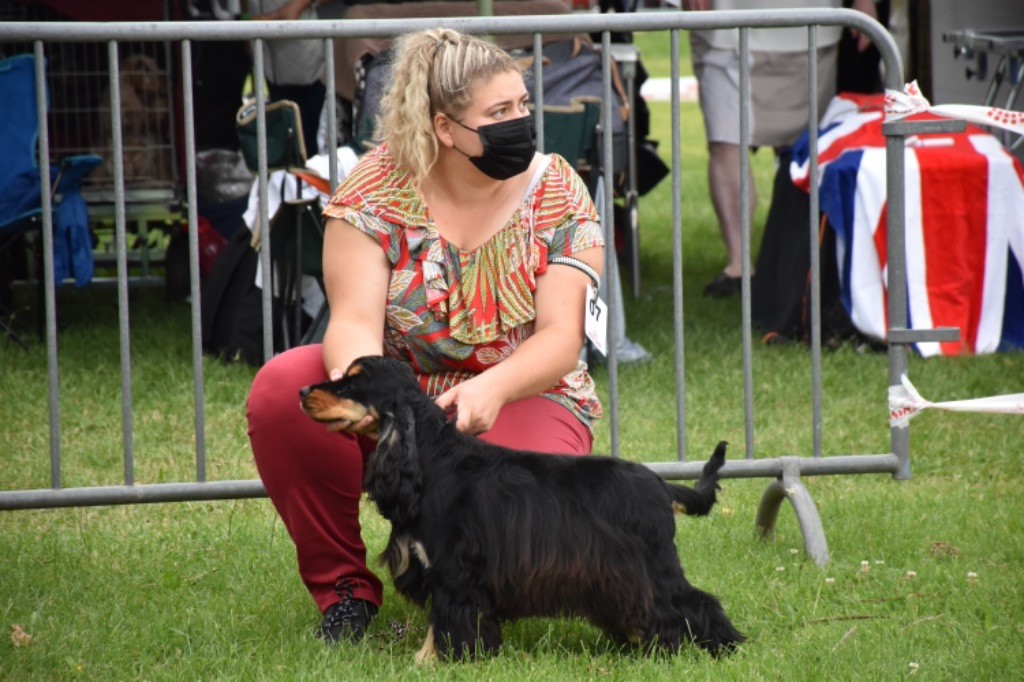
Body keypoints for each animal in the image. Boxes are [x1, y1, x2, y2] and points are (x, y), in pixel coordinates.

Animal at [300, 356, 745, 661]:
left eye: (353, 382)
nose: (303, 392)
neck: (430, 460)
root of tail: (660, 483)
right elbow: (439, 622)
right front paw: (427, 660)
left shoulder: (454, 571)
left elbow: (447, 621)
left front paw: (438, 662)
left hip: (654, 565)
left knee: (696, 603)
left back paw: (722, 647)